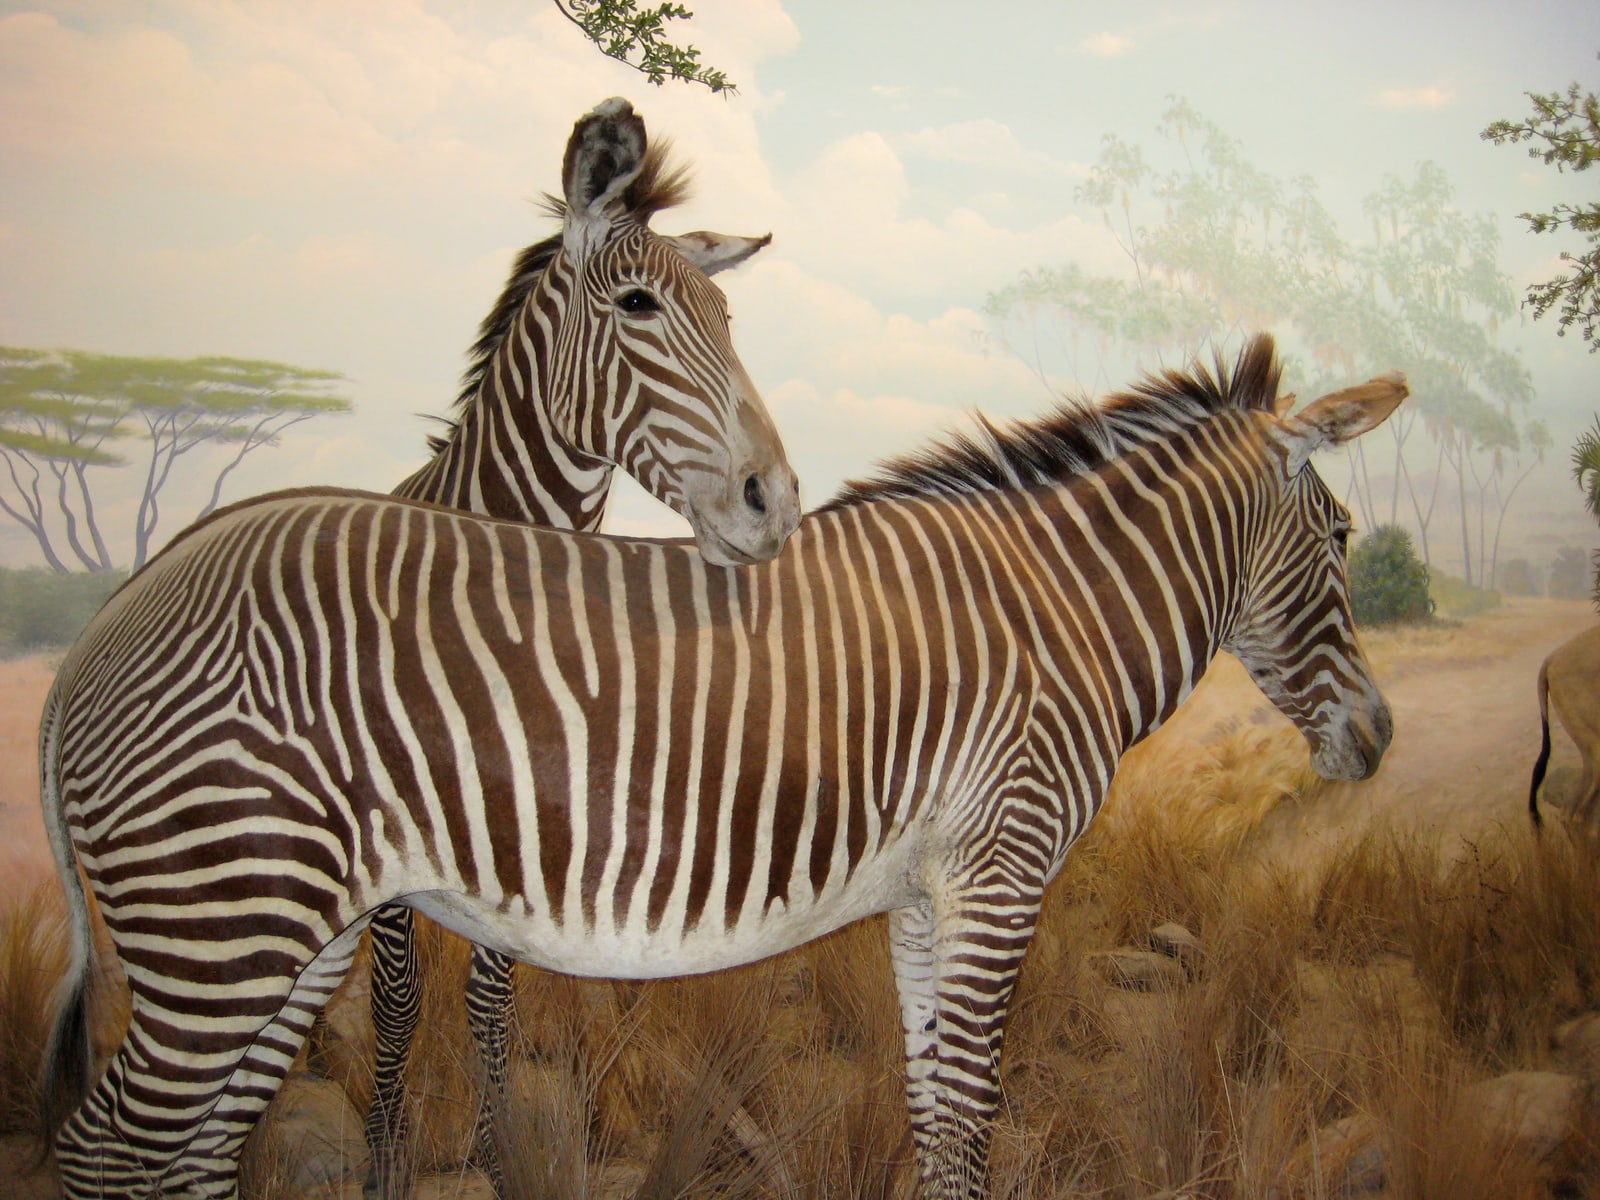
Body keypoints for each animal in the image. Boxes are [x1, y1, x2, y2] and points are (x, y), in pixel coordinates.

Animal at [39, 334, 1404, 1199]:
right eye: (1342, 536)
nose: (1382, 738)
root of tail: (114, 610)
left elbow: (935, 1119)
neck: (1048, 612)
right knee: (109, 1152)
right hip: (220, 926)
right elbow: (972, 1116)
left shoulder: (930, 897)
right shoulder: (999, 880)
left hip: (284, 931)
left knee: (189, 1155)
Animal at [365, 95, 799, 1196]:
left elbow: (490, 999)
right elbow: (395, 1002)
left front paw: (495, 1159)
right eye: (637, 306)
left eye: (726, 319)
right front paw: (382, 1157)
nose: (775, 503)